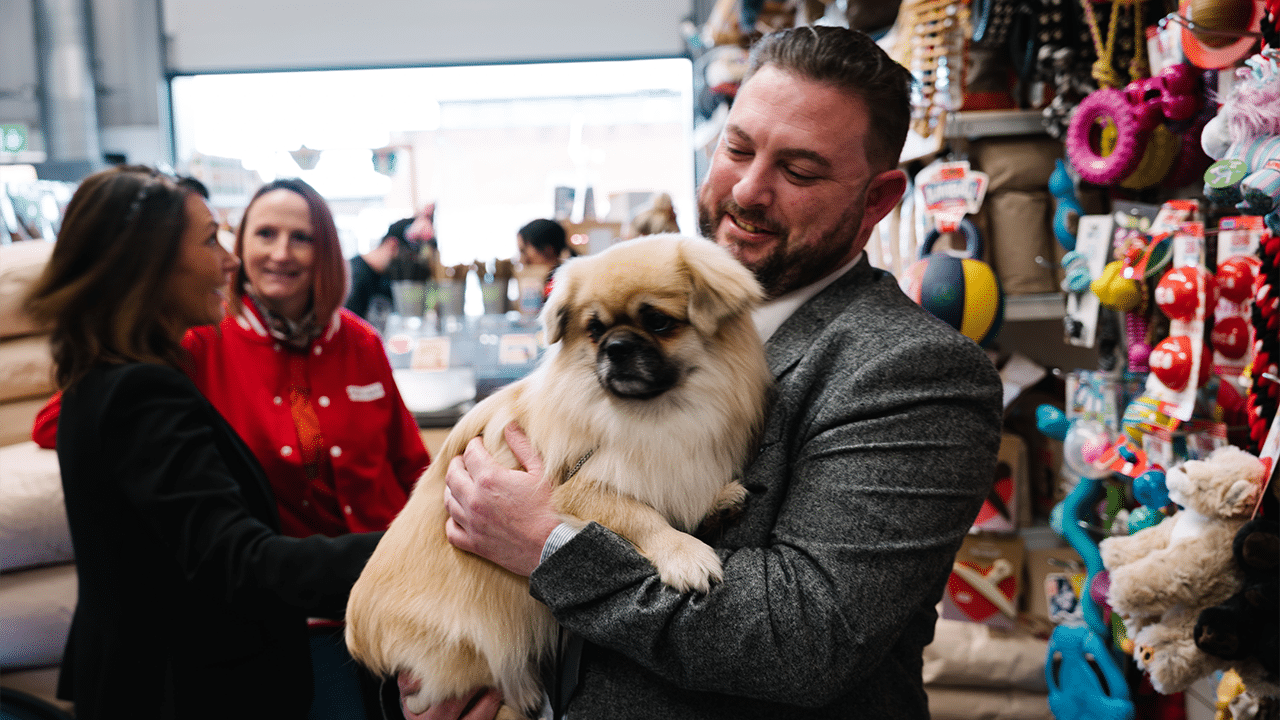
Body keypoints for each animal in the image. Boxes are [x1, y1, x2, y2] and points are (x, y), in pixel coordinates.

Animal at [343, 233, 768, 712]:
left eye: (658, 322)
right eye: (595, 329)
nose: (616, 347)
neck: (652, 415)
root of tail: (358, 636)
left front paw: (718, 502)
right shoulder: (580, 490)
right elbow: (641, 515)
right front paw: (685, 553)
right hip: (464, 651)